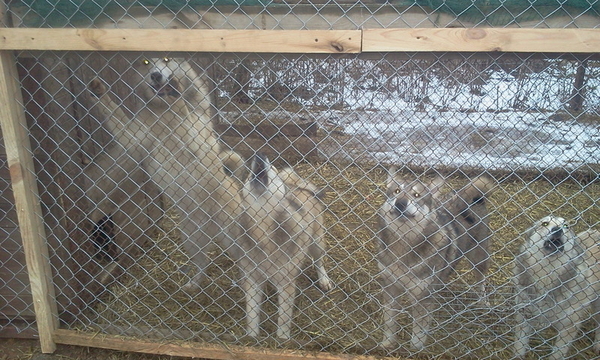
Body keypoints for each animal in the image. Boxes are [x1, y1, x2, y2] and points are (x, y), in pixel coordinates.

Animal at [84, 58, 244, 290]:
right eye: (147, 62)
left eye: (167, 60)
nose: (156, 75)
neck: (162, 112)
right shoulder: (132, 135)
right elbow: (113, 110)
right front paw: (98, 92)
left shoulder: (195, 137)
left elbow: (182, 108)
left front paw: (175, 92)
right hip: (191, 239)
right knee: (203, 264)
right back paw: (192, 286)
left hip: (232, 236)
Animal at [231, 153, 332, 338]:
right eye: (248, 176)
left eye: (273, 169)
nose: (260, 154)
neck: (263, 228)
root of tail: (299, 187)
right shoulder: (253, 281)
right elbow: (252, 317)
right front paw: (251, 337)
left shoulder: (286, 285)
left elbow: (283, 321)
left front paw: (282, 340)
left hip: (317, 243)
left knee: (319, 261)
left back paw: (324, 280)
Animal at [378, 169, 494, 352]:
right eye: (396, 191)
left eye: (416, 195)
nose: (401, 202)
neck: (404, 243)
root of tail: (476, 198)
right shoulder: (390, 287)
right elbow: (389, 322)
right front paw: (387, 344)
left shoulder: (423, 298)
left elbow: (418, 334)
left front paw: (415, 351)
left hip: (479, 258)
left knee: (481, 279)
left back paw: (483, 301)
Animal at [510, 217, 600, 360]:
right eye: (545, 223)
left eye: (566, 226)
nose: (557, 230)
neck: (547, 276)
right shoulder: (524, 314)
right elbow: (519, 347)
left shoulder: (568, 327)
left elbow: (557, 355)